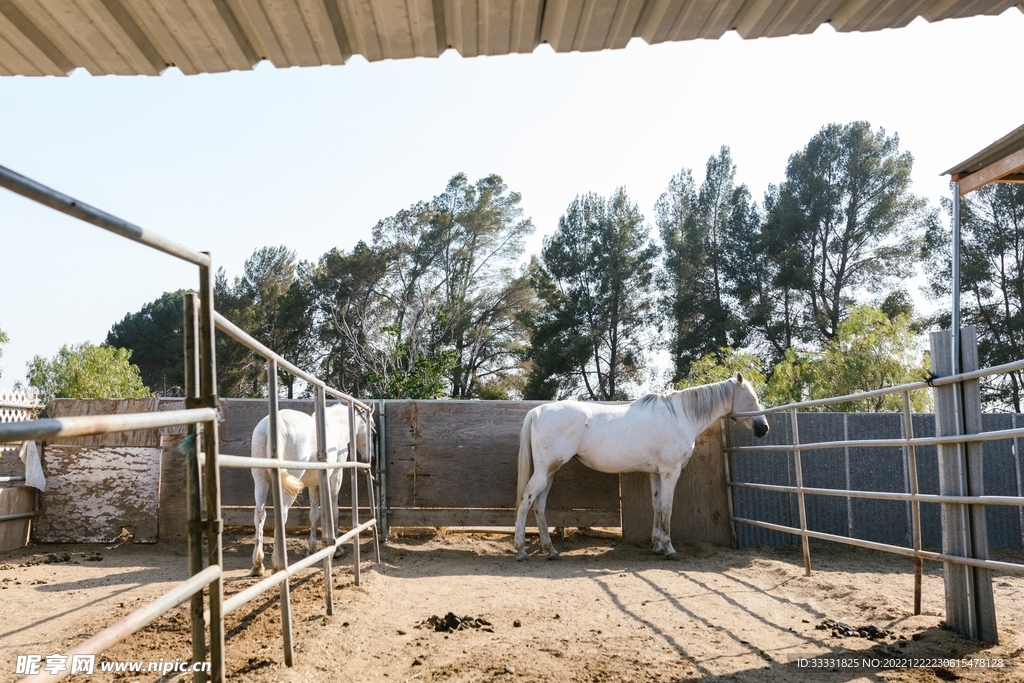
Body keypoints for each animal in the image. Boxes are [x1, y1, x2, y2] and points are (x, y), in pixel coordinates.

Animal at [250, 403, 374, 577]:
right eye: (371, 430)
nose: (371, 457)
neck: (334, 427)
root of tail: (275, 423)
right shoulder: (335, 478)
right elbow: (334, 512)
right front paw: (337, 549)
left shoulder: (314, 484)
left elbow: (314, 513)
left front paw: (312, 548)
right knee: (281, 514)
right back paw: (276, 564)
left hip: (260, 479)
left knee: (260, 514)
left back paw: (258, 565)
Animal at [513, 373, 768, 561]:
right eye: (752, 398)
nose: (763, 428)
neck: (680, 415)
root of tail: (537, 411)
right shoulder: (670, 472)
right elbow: (667, 507)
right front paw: (669, 549)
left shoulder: (655, 473)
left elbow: (656, 506)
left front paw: (657, 546)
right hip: (545, 471)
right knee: (526, 500)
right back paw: (521, 550)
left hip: (550, 472)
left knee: (539, 504)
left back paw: (551, 550)